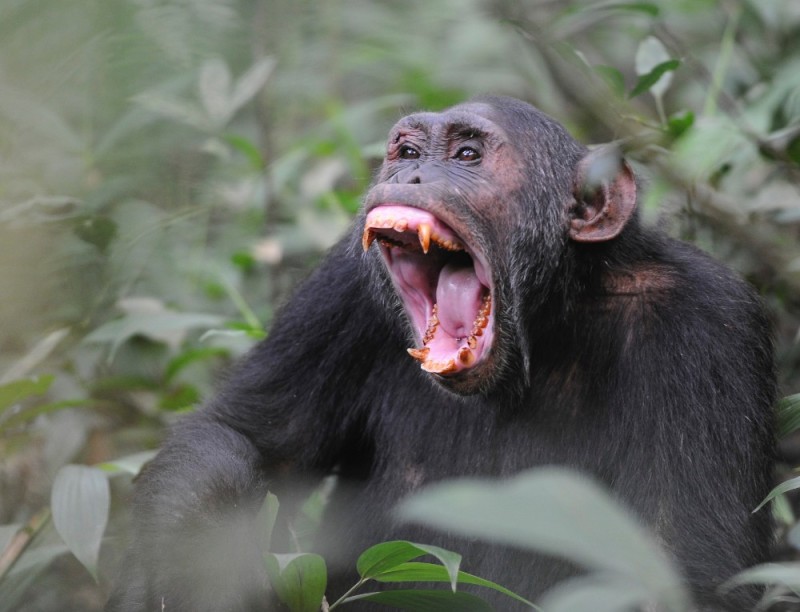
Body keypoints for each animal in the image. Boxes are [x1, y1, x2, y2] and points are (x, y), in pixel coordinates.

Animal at [106, 98, 776, 608]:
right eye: (406, 152)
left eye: (467, 155)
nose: (410, 175)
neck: (552, 317)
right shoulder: (342, 289)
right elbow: (249, 440)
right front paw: (183, 567)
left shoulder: (710, 326)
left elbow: (686, 567)